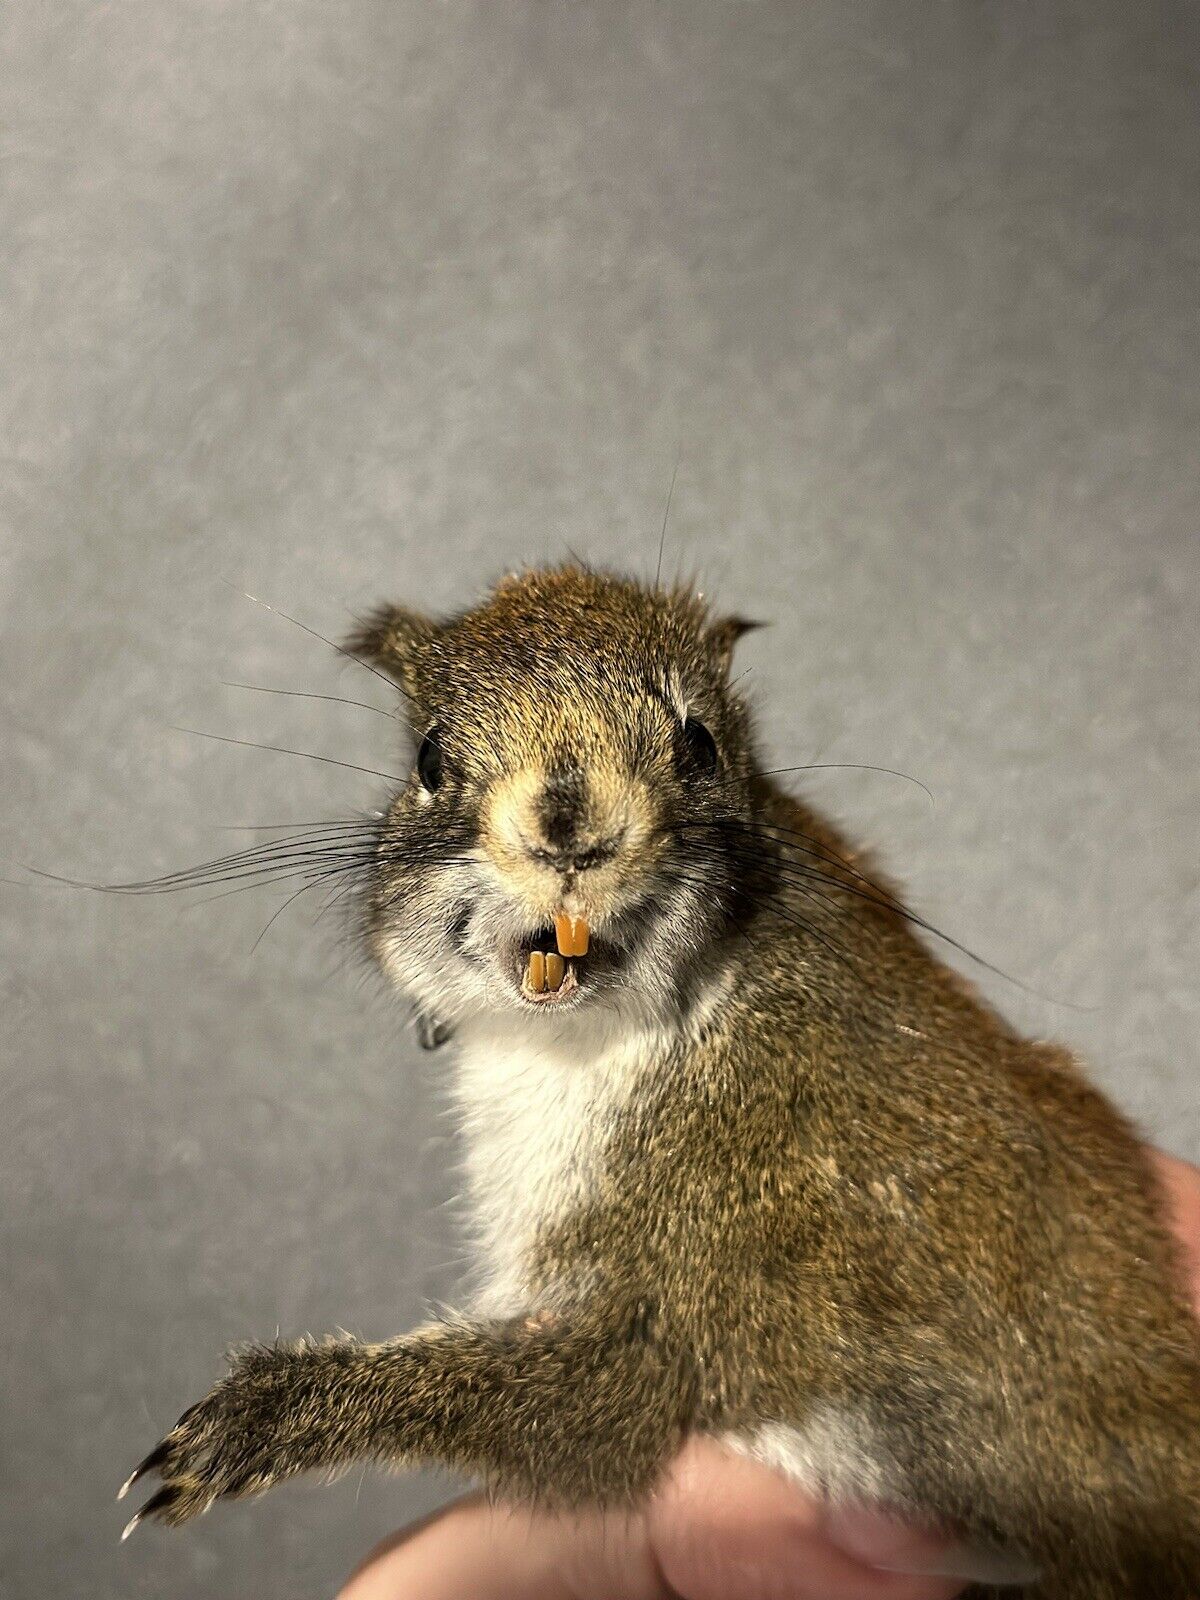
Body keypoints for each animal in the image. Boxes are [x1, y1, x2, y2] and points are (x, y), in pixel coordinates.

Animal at [120, 564, 1200, 1598]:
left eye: (702, 745)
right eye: (426, 760)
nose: (569, 829)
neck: (589, 1040)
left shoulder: (716, 1265)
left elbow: (597, 1404)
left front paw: (258, 1421)